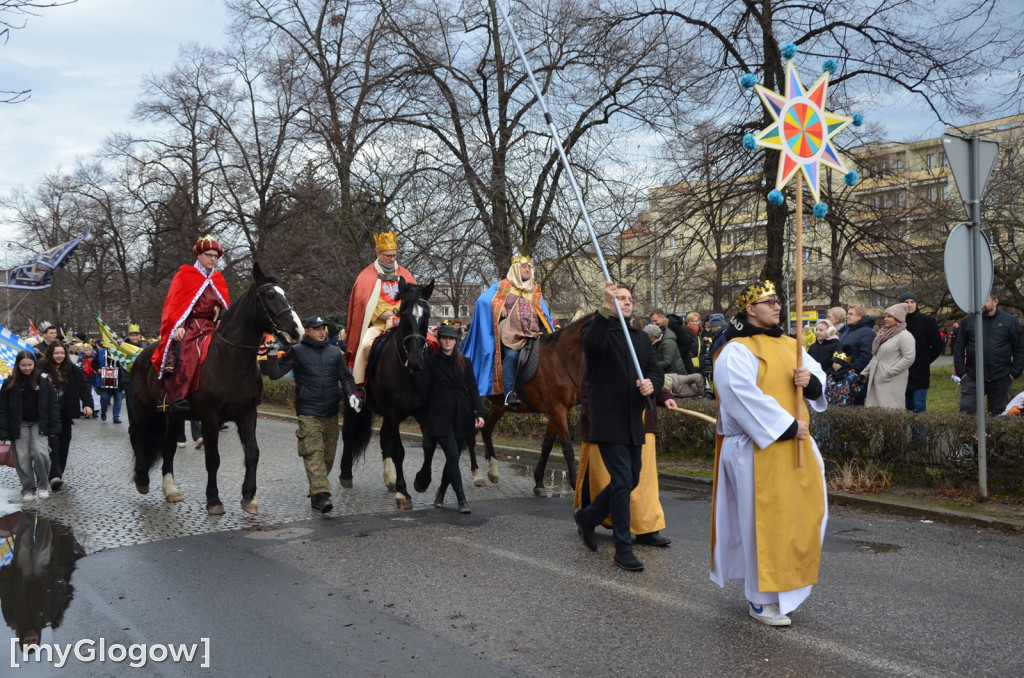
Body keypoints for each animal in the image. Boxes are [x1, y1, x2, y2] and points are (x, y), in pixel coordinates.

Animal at [130, 264, 301, 516]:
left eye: (285, 294)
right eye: (270, 294)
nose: (297, 330)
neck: (230, 360)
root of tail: (141, 355)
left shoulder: (248, 413)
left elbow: (252, 454)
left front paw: (249, 497)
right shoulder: (210, 418)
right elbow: (213, 459)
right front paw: (213, 500)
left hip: (174, 415)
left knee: (168, 446)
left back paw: (170, 489)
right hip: (144, 408)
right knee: (136, 434)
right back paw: (142, 479)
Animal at [337, 278, 430, 510]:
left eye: (427, 315)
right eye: (403, 314)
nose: (416, 360)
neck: (407, 372)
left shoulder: (422, 412)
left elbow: (427, 444)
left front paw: (422, 481)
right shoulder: (393, 413)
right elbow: (399, 451)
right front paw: (403, 493)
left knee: (384, 439)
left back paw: (390, 479)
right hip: (356, 404)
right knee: (349, 434)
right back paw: (346, 474)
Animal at [458, 315, 593, 499]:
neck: (562, 359)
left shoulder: (558, 411)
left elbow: (546, 447)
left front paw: (539, 482)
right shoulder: (557, 410)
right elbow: (567, 449)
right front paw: (574, 484)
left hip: (499, 406)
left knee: (486, 430)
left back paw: (493, 470)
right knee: (471, 436)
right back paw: (477, 475)